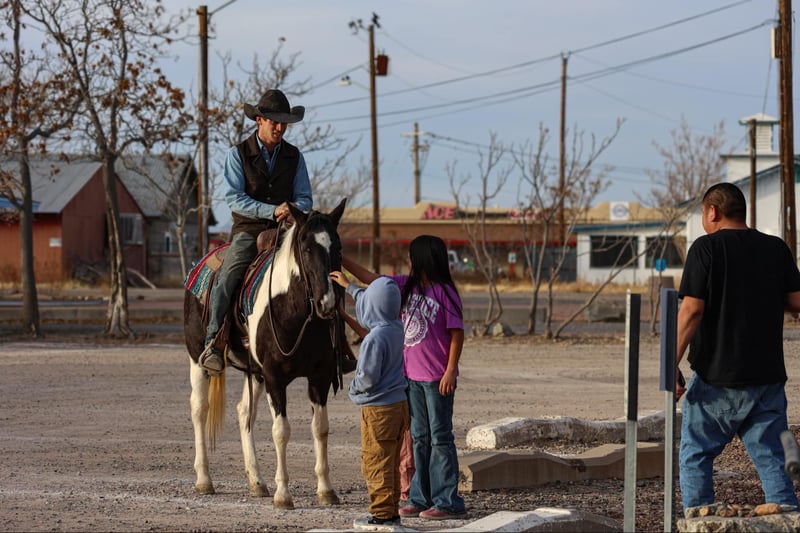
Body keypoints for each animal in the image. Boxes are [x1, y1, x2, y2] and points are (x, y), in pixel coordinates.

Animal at [183, 199, 347, 509]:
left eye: (338, 247)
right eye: (307, 248)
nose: (327, 303)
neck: (294, 312)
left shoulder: (318, 376)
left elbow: (320, 428)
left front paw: (326, 490)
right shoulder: (275, 376)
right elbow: (280, 431)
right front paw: (283, 495)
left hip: (254, 373)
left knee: (244, 411)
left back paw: (256, 482)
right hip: (198, 360)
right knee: (199, 409)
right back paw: (204, 480)